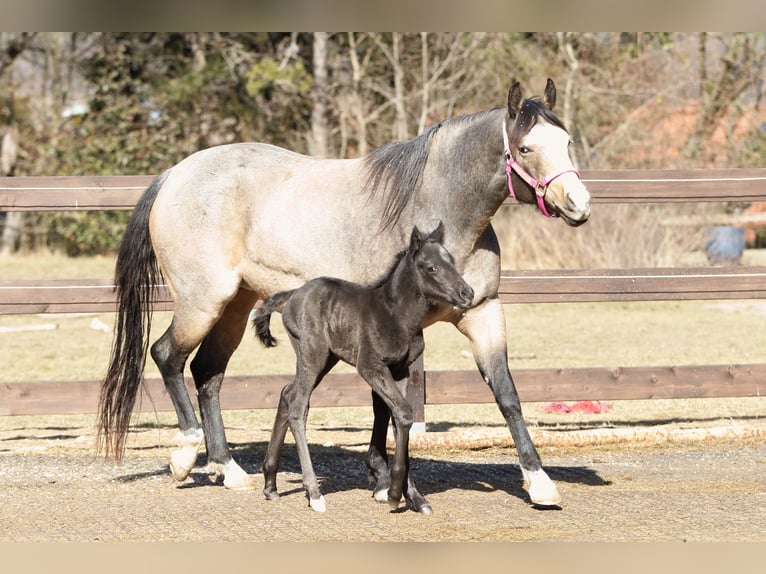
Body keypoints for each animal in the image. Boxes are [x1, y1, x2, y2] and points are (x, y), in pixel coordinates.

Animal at [255, 223, 476, 516]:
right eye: (431, 268)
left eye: (451, 261)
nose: (467, 293)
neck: (397, 316)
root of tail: (292, 294)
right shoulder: (370, 367)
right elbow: (403, 412)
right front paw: (394, 494)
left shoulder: (400, 371)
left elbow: (399, 417)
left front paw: (414, 497)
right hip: (313, 355)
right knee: (298, 405)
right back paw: (313, 492)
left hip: (326, 359)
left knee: (287, 394)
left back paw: (270, 484)